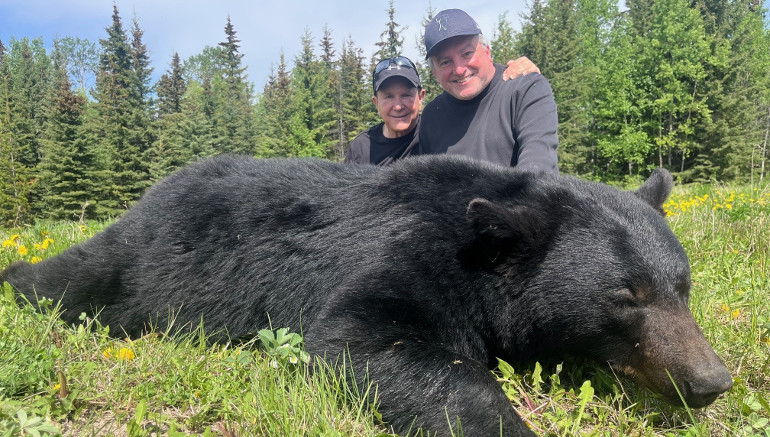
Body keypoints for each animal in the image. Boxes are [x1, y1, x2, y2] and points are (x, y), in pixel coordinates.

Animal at [2, 154, 733, 436]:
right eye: (627, 295)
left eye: (681, 286)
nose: (711, 380)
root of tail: (155, 191)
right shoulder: (404, 254)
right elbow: (365, 338)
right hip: (139, 257)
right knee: (66, 279)